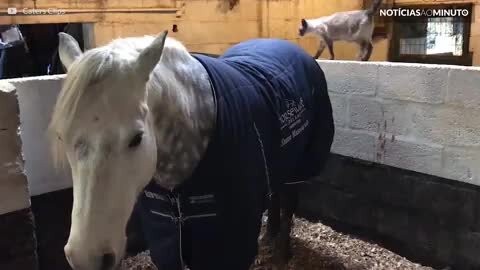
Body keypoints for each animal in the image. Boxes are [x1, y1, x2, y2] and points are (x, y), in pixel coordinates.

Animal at [49, 30, 334, 270]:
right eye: (62, 137)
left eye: (137, 138)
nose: (87, 258)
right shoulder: (167, 241)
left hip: (301, 163)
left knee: (289, 200)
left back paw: (282, 251)